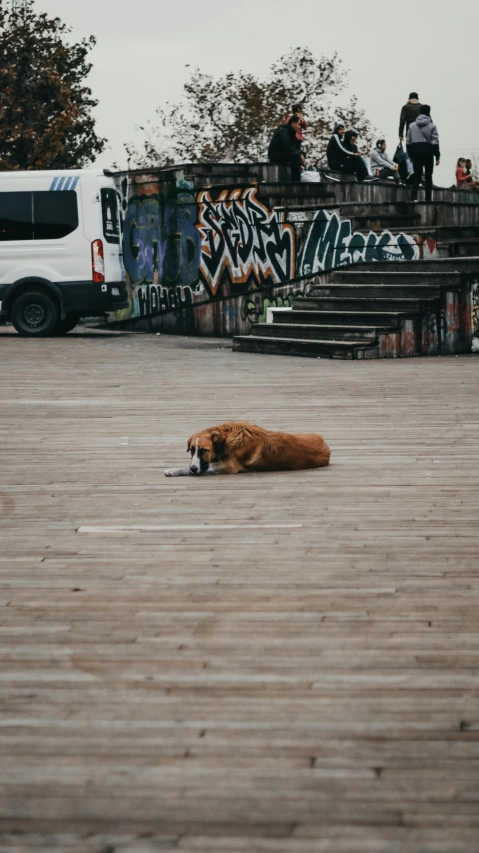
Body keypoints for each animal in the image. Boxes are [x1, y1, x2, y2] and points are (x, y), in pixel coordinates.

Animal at [165, 422, 330, 476]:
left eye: (204, 451)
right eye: (192, 450)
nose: (193, 468)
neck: (227, 437)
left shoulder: (229, 466)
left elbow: (206, 467)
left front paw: (176, 470)